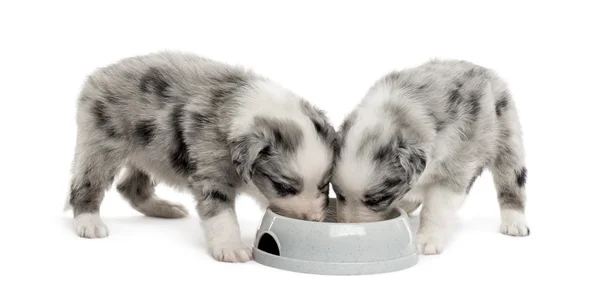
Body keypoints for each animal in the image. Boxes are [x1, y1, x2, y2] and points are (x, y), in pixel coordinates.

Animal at [66, 52, 340, 262]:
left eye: (324, 185)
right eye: (283, 186)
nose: (314, 220)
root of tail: (97, 76)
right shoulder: (211, 174)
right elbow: (221, 214)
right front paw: (231, 247)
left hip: (150, 153)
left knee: (130, 186)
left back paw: (164, 209)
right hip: (102, 145)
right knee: (85, 185)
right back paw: (89, 222)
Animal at [332, 59, 528, 255]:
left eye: (376, 200)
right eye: (339, 194)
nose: (349, 225)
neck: (396, 112)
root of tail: (487, 71)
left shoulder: (454, 168)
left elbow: (434, 209)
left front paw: (427, 240)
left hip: (507, 140)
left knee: (510, 183)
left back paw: (514, 222)